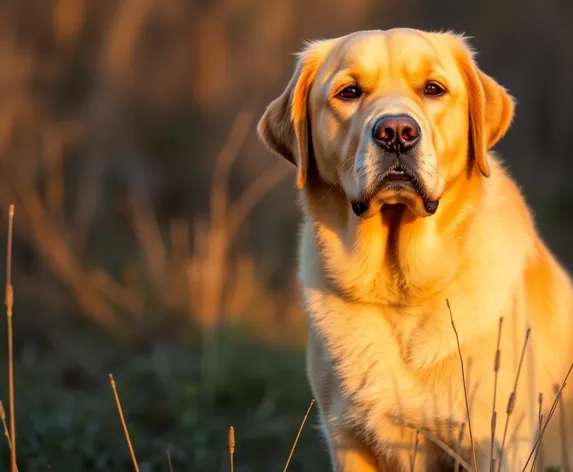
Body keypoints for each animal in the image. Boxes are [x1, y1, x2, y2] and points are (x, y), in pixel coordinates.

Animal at [256, 27, 572, 470]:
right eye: (349, 92)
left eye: (433, 88)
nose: (396, 133)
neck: (399, 290)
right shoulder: (347, 440)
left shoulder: (493, 441)